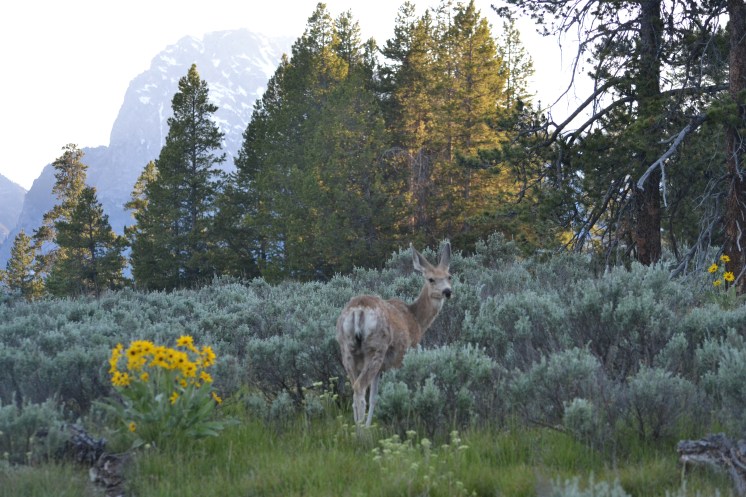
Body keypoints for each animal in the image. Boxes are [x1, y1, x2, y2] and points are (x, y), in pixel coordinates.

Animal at [336, 242, 452, 427]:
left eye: (449, 276)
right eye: (431, 279)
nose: (447, 292)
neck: (416, 319)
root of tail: (358, 310)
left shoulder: (382, 368)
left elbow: (374, 397)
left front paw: (369, 425)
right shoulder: (404, 355)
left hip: (347, 349)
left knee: (355, 391)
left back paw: (357, 428)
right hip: (376, 347)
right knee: (360, 388)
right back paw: (361, 432)